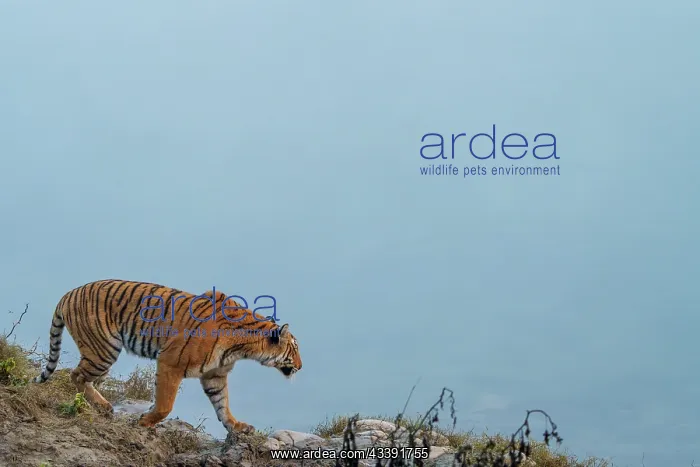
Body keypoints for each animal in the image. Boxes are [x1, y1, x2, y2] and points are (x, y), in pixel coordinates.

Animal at [34, 279, 302, 434]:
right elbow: (165, 404)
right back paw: (103, 406)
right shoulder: (171, 362)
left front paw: (236, 426)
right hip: (104, 350)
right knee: (76, 375)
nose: (301, 366)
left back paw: (102, 406)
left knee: (85, 377)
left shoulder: (214, 375)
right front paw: (145, 421)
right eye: (295, 348)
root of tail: (68, 293)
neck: (241, 347)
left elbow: (222, 404)